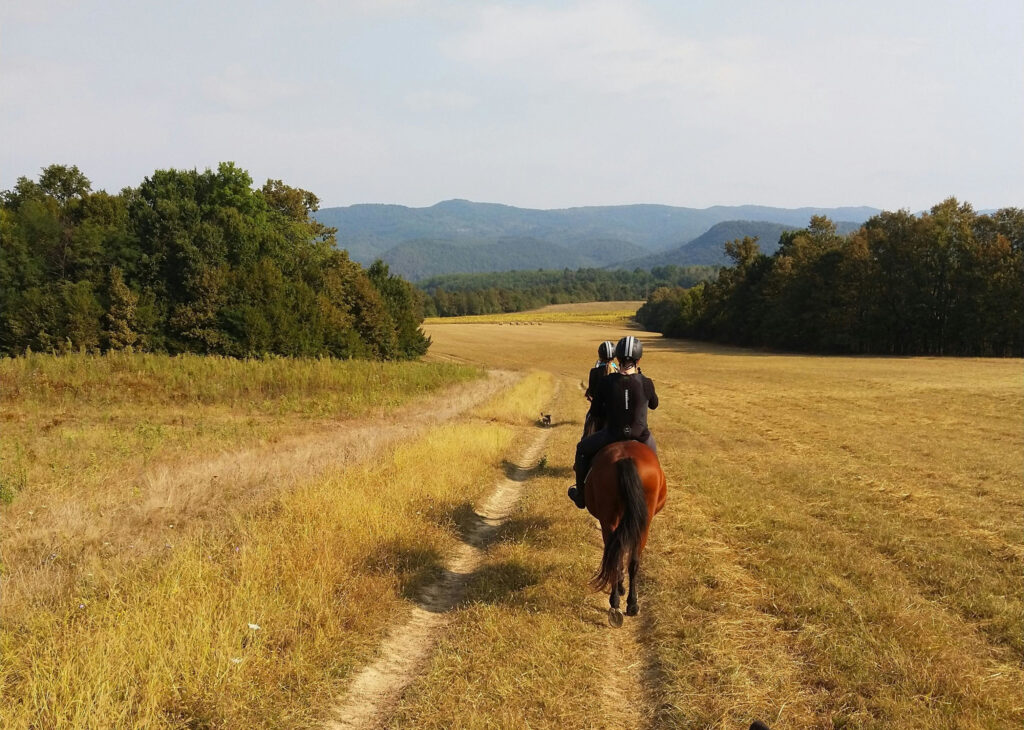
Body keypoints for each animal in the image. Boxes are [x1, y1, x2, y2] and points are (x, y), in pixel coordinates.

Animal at [585, 436, 663, 630]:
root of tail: (625, 458)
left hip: (612, 521)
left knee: (623, 558)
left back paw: (619, 604)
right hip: (641, 523)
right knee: (628, 559)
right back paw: (626, 604)